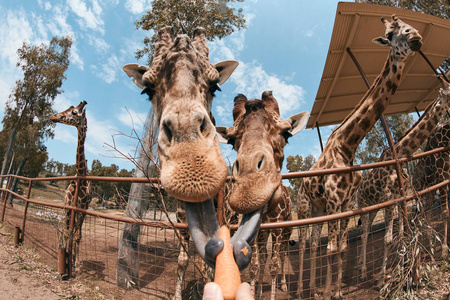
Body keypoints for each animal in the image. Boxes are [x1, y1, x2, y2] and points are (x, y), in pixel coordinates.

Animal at [49, 100, 92, 270]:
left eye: (74, 112)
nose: (52, 116)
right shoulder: (69, 206)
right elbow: (68, 232)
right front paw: (66, 258)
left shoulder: (82, 209)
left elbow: (78, 235)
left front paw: (77, 264)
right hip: (66, 207)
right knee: (65, 229)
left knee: (72, 231)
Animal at [217, 91, 310, 300]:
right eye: (231, 140)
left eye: (286, 134)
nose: (250, 190)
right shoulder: (258, 230)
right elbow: (255, 265)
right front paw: (254, 291)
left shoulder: (278, 226)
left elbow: (274, 265)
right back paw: (259, 289)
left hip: (286, 230)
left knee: (283, 254)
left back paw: (283, 284)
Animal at [296, 16, 422, 300]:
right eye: (390, 33)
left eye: (407, 23)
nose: (417, 38)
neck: (348, 145)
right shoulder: (334, 202)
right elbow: (332, 249)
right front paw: (330, 293)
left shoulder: (344, 204)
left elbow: (341, 248)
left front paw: (337, 292)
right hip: (305, 209)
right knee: (304, 245)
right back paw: (301, 290)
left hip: (319, 209)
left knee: (313, 244)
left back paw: (312, 288)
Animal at [414, 118, 450, 260]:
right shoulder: (443, 179)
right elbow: (445, 213)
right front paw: (445, 249)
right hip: (420, 194)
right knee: (419, 218)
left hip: (430, 191)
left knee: (426, 217)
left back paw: (430, 249)